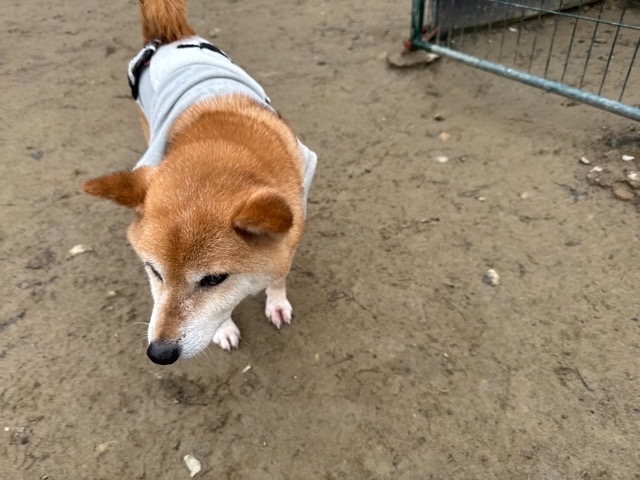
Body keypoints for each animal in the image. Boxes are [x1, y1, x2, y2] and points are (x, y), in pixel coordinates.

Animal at [82, 0, 316, 365]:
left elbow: (279, 273)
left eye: (214, 279)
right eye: (154, 271)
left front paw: (276, 302)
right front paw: (224, 329)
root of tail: (170, 38)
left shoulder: (293, 224)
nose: (160, 353)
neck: (221, 142)